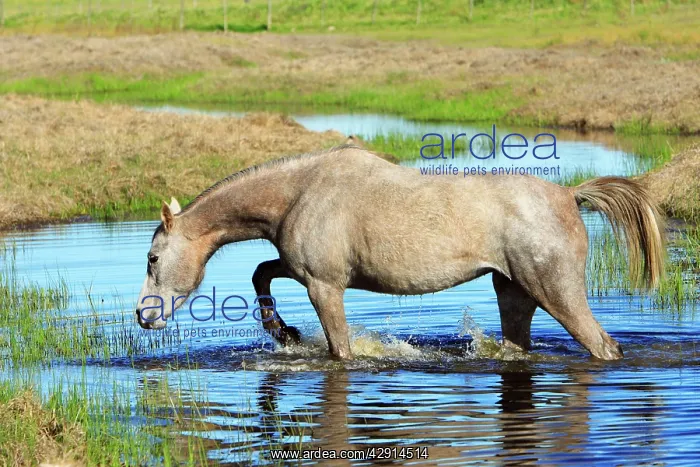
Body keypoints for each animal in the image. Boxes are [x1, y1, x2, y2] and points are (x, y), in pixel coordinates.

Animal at [135, 145, 665, 360]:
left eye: (153, 259)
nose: (144, 316)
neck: (299, 191)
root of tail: (570, 196)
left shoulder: (324, 285)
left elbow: (340, 349)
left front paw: (288, 333)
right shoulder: (303, 269)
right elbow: (262, 272)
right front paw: (282, 332)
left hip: (556, 290)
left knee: (603, 346)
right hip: (514, 292)